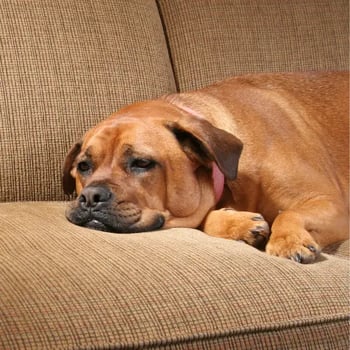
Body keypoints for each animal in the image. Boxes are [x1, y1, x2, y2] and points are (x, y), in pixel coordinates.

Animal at [63, 71, 350, 262]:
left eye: (142, 163)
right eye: (84, 166)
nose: (90, 196)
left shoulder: (331, 204)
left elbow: (288, 213)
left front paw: (288, 240)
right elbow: (205, 219)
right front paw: (239, 223)